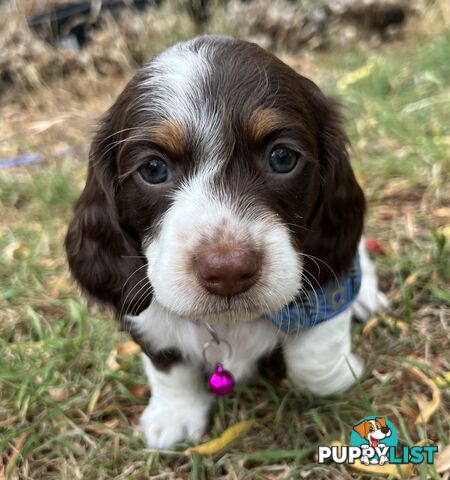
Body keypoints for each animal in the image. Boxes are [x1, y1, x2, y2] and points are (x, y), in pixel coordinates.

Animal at [66, 35, 386, 448]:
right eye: (152, 168)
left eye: (282, 158)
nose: (229, 271)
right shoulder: (141, 310)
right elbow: (168, 364)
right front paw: (174, 415)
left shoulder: (320, 284)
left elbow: (314, 356)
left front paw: (337, 377)